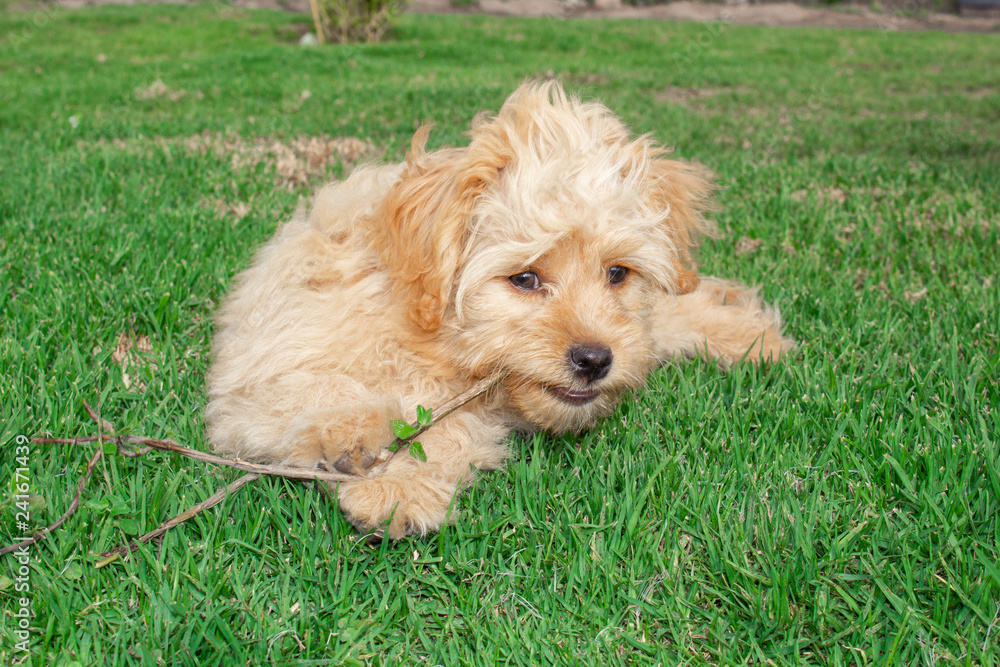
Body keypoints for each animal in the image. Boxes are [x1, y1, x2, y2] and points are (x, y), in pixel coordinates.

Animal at [205, 82, 796, 544]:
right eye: (525, 279)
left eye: (617, 273)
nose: (594, 360)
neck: (428, 336)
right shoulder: (258, 368)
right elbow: (317, 387)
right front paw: (360, 445)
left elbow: (448, 427)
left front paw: (398, 485)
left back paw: (753, 339)